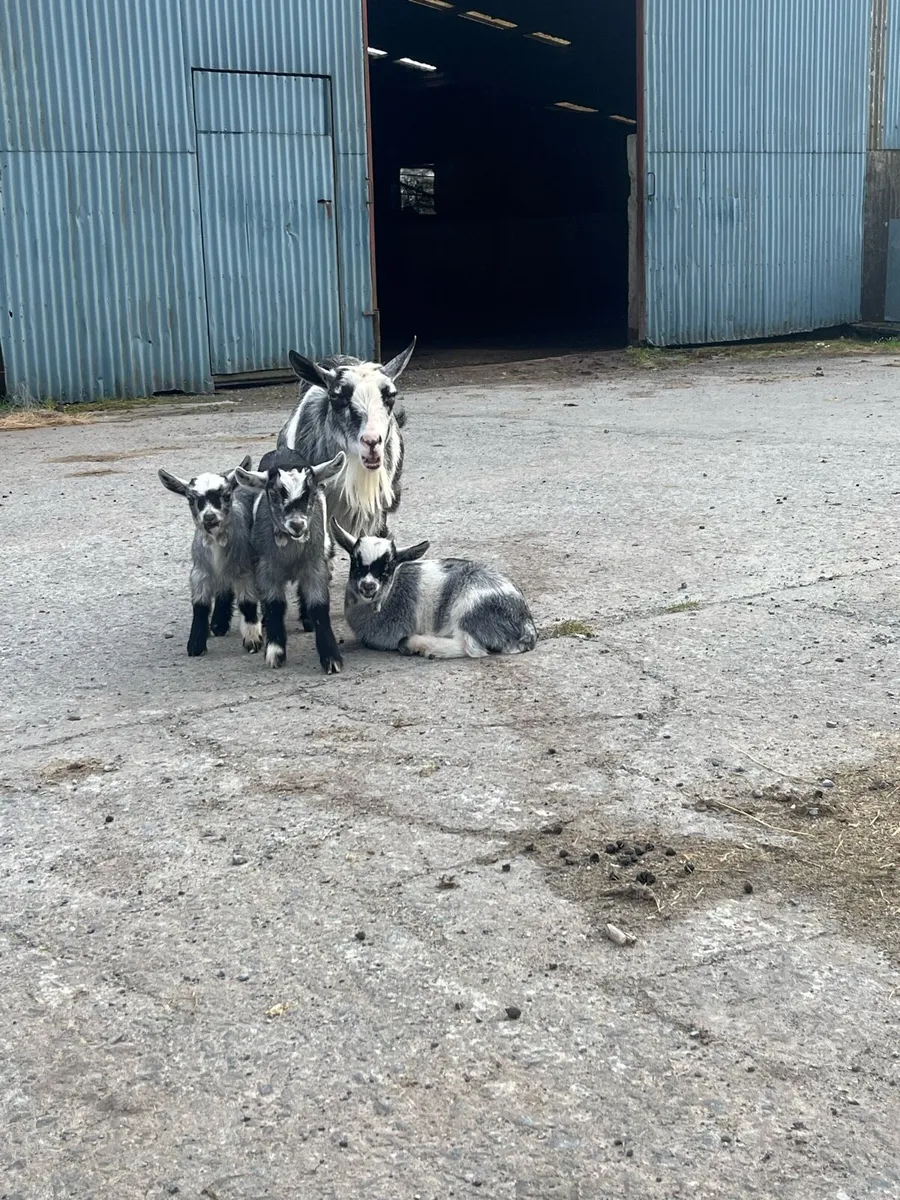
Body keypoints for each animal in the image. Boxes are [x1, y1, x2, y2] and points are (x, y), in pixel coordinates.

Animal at [158, 456, 262, 657]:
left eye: (226, 495)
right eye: (191, 499)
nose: (209, 517)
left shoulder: (245, 569)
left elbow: (247, 602)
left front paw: (253, 640)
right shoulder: (200, 571)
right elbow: (200, 605)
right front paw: (196, 644)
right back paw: (218, 624)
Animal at [236, 453, 345, 674]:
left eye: (311, 492)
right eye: (273, 494)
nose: (297, 525)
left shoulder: (315, 566)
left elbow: (319, 605)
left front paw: (331, 658)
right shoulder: (267, 569)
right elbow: (275, 605)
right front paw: (275, 652)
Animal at [331, 525, 538, 660]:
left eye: (388, 567)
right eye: (354, 562)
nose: (368, 586)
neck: (392, 592)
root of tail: (526, 626)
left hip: (469, 607)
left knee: (470, 647)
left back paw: (416, 646)